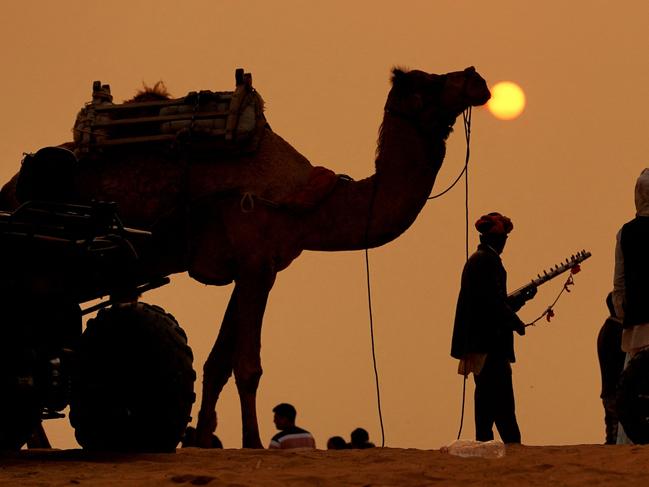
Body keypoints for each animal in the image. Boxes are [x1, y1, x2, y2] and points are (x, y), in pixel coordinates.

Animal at [0, 66, 486, 448]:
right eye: (432, 80)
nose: (477, 78)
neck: (308, 204)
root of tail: (11, 188)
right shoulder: (256, 261)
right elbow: (247, 365)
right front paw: (251, 442)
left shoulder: (254, 267)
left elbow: (218, 362)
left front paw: (202, 440)